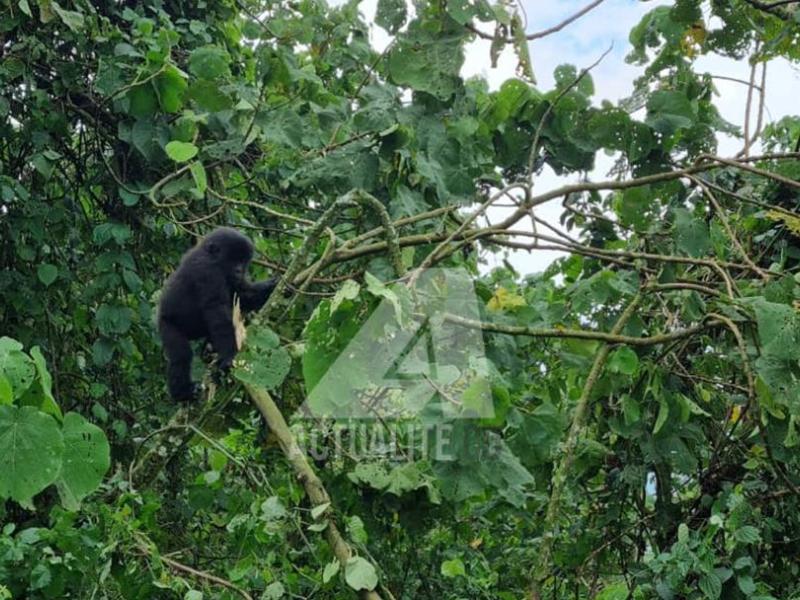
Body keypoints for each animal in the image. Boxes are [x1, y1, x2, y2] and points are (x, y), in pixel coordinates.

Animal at [158, 227, 276, 400]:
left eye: (243, 260)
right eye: (233, 259)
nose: (240, 270)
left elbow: (243, 295)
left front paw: (273, 286)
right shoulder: (207, 270)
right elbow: (216, 308)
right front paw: (228, 357)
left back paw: (208, 350)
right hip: (166, 325)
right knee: (181, 356)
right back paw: (182, 392)